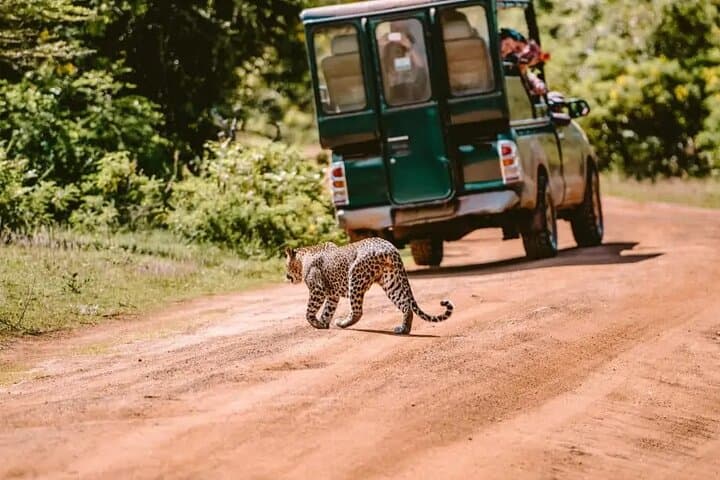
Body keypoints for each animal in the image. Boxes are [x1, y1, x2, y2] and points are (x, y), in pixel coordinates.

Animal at [284, 237, 454, 335]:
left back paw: (343, 323)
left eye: (286, 265)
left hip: (355, 276)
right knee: (405, 304)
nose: (286, 276)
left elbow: (309, 311)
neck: (303, 257)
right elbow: (327, 310)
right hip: (390, 281)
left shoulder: (317, 290)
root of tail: (390, 247)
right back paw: (403, 329)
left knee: (357, 311)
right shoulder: (332, 295)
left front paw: (316, 323)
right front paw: (323, 323)